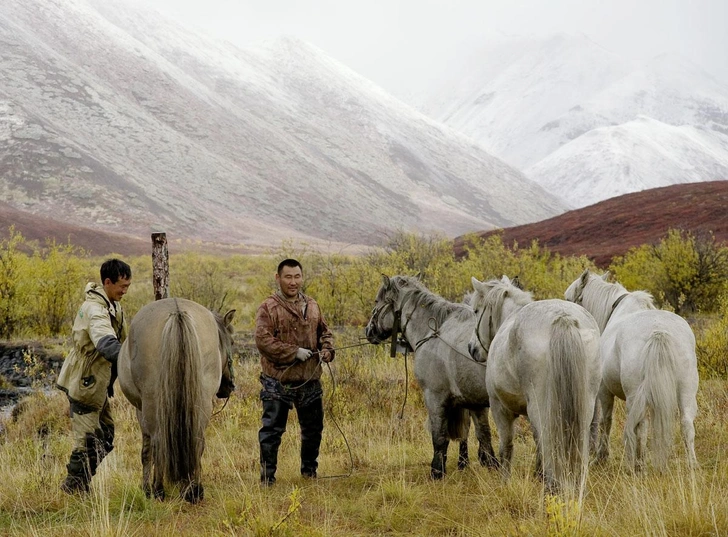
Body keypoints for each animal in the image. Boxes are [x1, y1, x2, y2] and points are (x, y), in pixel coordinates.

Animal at [366, 276, 498, 478]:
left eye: (376, 301)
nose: (368, 331)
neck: (433, 332)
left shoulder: (434, 397)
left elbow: (439, 436)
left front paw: (437, 470)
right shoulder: (475, 402)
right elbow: (484, 435)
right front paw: (491, 465)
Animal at [470, 276, 600, 490]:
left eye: (475, 310)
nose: (471, 348)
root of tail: (563, 318)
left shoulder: (500, 409)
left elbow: (507, 447)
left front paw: (505, 482)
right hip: (585, 407)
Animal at [564, 270, 700, 472]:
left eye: (569, 299)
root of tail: (659, 332)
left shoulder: (604, 391)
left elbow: (606, 421)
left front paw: (602, 456)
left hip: (635, 394)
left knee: (640, 426)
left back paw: (638, 464)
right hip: (686, 391)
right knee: (686, 424)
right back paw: (692, 465)